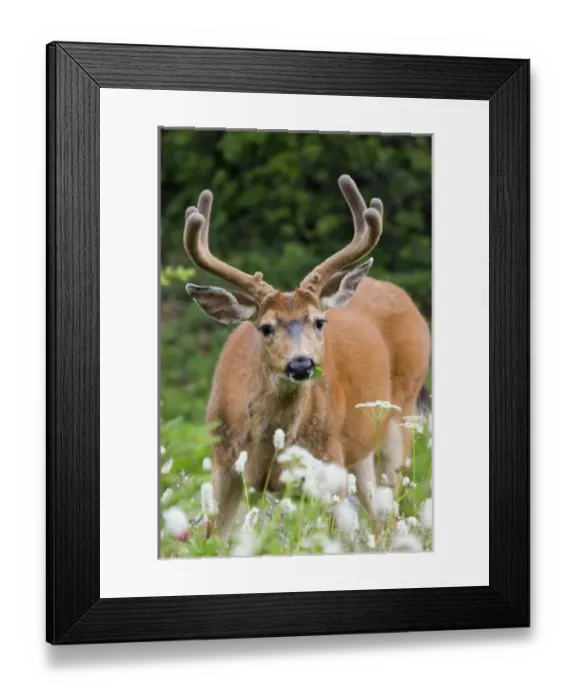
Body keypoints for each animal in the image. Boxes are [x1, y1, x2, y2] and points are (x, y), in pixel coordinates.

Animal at [182, 175, 431, 537]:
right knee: (379, 516)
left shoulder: (330, 461)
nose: (301, 363)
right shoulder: (223, 463)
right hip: (360, 454)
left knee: (391, 518)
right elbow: (214, 538)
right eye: (265, 327)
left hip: (401, 417)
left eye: (319, 321)